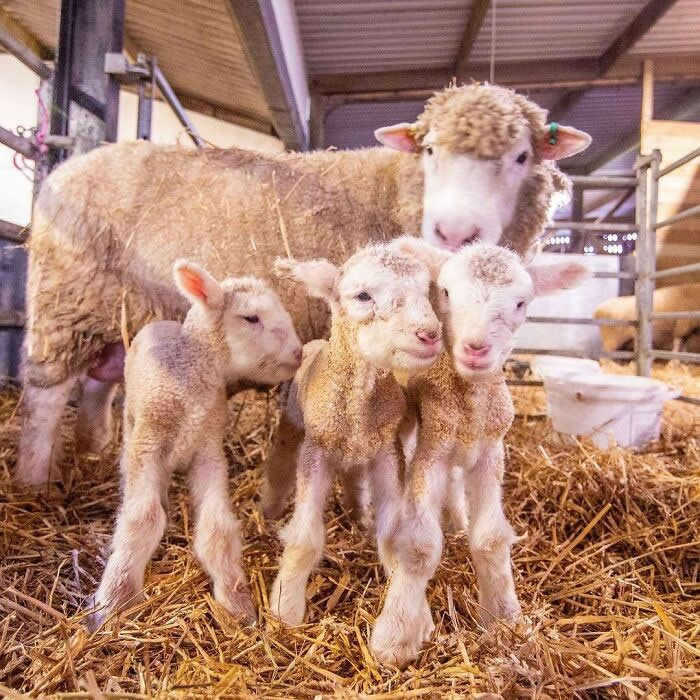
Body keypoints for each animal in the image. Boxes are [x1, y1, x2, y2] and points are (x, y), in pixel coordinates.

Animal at [17, 82, 591, 486]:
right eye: (429, 151)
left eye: (521, 156)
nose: (454, 232)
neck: (396, 189)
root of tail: (66, 168)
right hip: (65, 301)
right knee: (48, 393)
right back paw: (35, 479)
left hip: (118, 312)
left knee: (100, 382)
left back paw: (93, 451)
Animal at [87, 260, 302, 630]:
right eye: (251, 318)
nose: (299, 353)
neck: (191, 380)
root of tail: (162, 323)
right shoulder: (149, 442)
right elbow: (143, 517)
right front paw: (115, 599)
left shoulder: (208, 451)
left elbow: (216, 528)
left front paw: (237, 603)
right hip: (133, 418)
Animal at [266, 240, 443, 626]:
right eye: (363, 295)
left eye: (426, 292)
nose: (430, 334)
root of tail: (317, 343)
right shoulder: (316, 451)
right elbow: (304, 539)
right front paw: (286, 608)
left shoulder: (388, 452)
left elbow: (392, 535)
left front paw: (410, 609)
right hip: (292, 422)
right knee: (280, 461)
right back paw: (268, 511)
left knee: (353, 478)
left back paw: (357, 515)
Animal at [370, 241, 589, 668]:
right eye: (446, 292)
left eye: (521, 302)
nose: (475, 348)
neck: (468, 405)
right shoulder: (431, 450)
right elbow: (419, 546)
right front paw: (397, 633)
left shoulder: (490, 453)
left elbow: (489, 538)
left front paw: (504, 618)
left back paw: (456, 520)